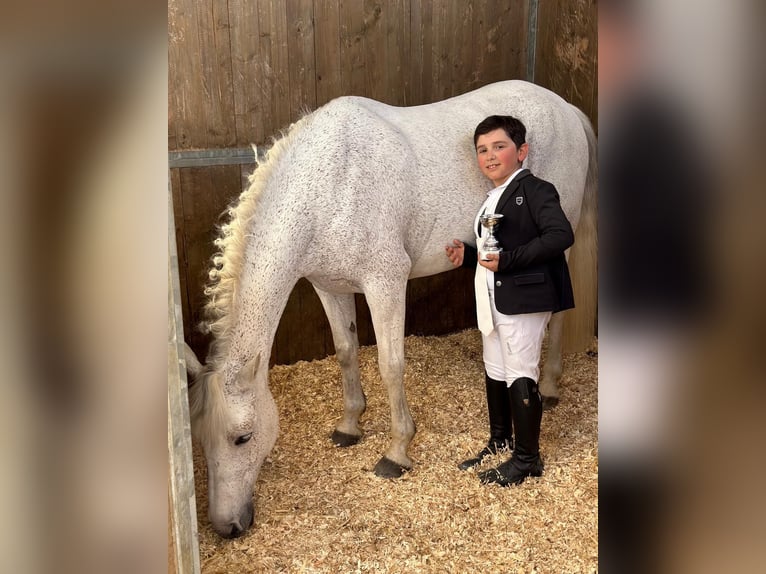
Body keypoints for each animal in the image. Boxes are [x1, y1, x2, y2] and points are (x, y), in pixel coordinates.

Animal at [183, 79, 597, 538]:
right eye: (198, 439)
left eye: (243, 437)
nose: (227, 527)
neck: (330, 186)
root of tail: (564, 107)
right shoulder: (329, 287)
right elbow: (346, 353)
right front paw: (349, 426)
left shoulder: (385, 283)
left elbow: (390, 365)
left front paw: (397, 452)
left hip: (559, 245)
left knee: (556, 316)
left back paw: (551, 386)